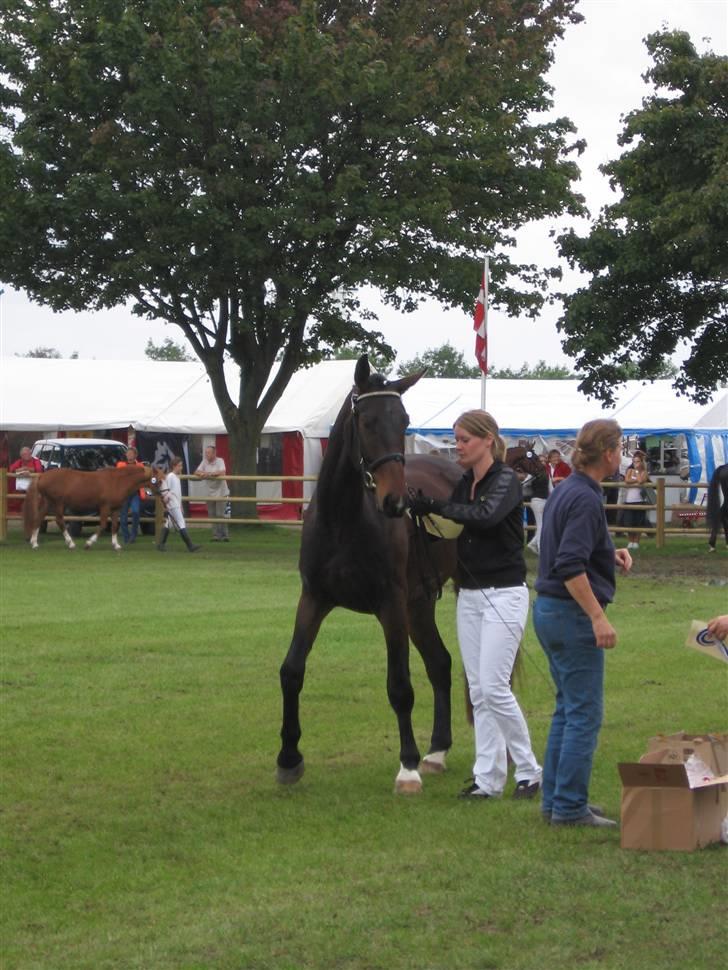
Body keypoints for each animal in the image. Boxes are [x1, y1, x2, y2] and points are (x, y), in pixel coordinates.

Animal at [23, 466, 159, 548]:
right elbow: (103, 525)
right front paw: (89, 543)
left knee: (39, 518)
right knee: (59, 521)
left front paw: (116, 545)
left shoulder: (115, 509)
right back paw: (71, 543)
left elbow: (114, 526)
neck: (117, 481)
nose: (160, 492)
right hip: (58, 503)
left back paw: (34, 543)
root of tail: (42, 476)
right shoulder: (105, 507)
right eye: (158, 479)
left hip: (48, 502)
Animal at [278, 358, 460, 796]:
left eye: (405, 421)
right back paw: (437, 750)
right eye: (366, 421)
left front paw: (407, 767)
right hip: (419, 606)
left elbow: (400, 686)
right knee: (440, 663)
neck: (343, 520)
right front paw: (289, 758)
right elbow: (292, 671)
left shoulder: (390, 606)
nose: (395, 501)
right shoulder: (313, 598)